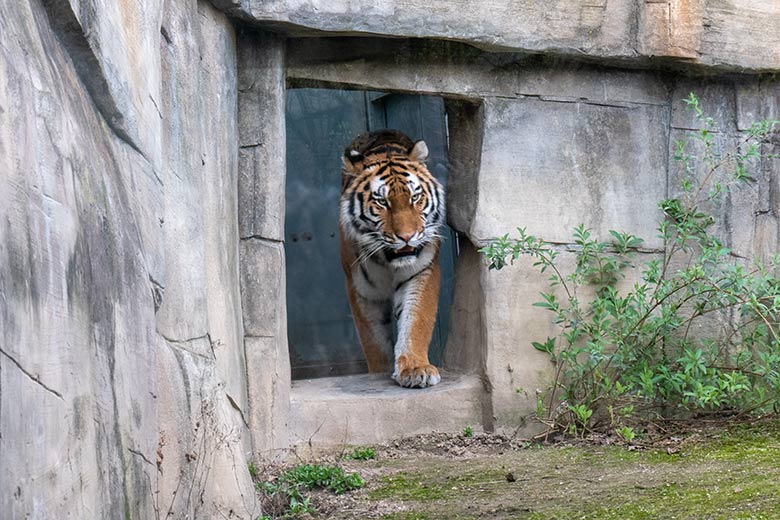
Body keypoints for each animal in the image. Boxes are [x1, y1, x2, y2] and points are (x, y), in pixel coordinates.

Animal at [340, 130, 444, 388]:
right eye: (382, 202)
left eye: (415, 197)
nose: (407, 236)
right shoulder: (362, 290)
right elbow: (373, 340)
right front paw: (379, 372)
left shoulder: (422, 272)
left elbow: (416, 321)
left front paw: (416, 369)